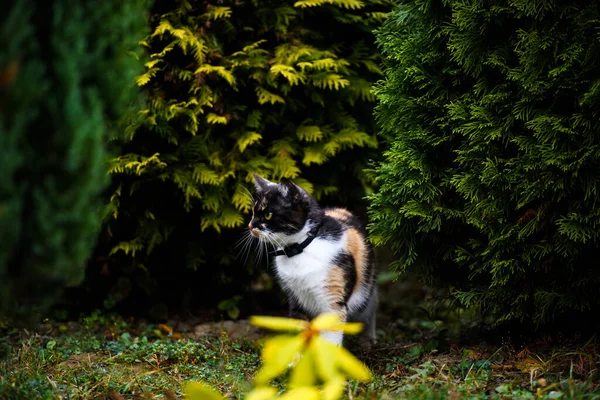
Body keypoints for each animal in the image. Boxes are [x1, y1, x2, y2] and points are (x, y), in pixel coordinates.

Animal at [246, 174, 378, 346]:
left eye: (268, 214)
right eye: (253, 212)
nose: (250, 226)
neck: (299, 248)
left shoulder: (332, 300)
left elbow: (330, 337)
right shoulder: (296, 297)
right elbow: (299, 327)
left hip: (367, 291)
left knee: (369, 311)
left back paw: (369, 339)